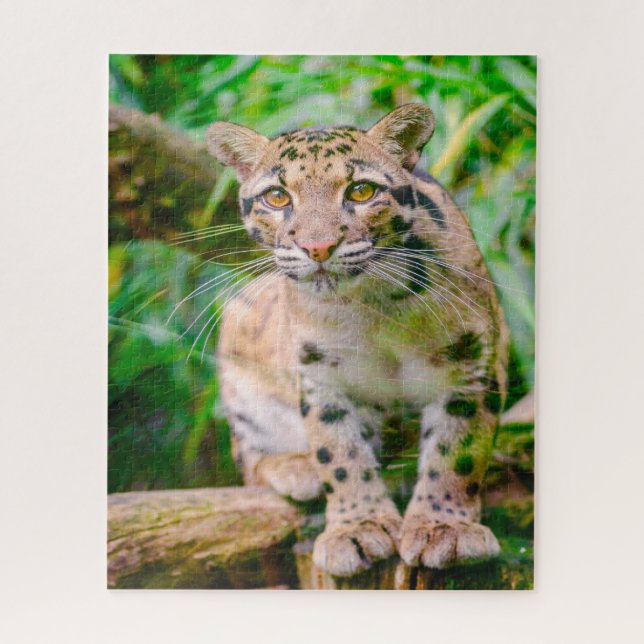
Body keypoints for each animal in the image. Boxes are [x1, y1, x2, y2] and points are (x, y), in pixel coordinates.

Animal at [205, 104, 508, 577]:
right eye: (277, 197)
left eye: (362, 191)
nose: (318, 247)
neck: (373, 305)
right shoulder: (322, 375)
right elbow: (340, 452)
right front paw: (358, 527)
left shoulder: (471, 363)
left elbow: (458, 450)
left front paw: (445, 527)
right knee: (250, 460)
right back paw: (296, 467)